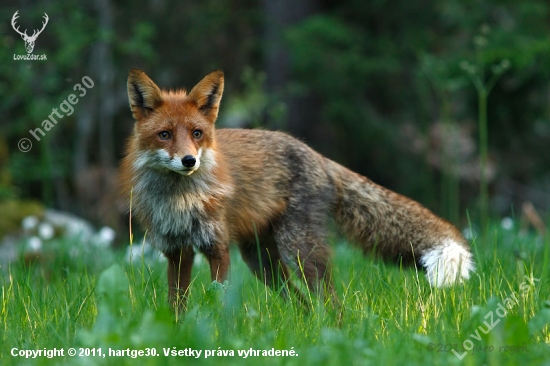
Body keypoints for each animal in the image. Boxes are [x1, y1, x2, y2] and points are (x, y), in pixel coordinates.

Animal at [119, 68, 474, 308]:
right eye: (165, 135)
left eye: (196, 133)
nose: (189, 161)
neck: (179, 200)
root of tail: (316, 154)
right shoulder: (176, 252)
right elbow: (175, 306)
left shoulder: (217, 247)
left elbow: (219, 301)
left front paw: (218, 333)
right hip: (263, 262)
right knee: (301, 304)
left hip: (299, 252)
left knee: (331, 302)